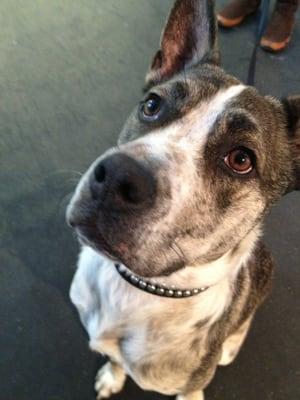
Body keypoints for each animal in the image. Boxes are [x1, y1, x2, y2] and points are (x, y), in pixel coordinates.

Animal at [66, 1, 300, 398]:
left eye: (241, 159)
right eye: (151, 105)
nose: (116, 178)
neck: (138, 288)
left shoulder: (191, 385)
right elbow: (115, 359)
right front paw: (113, 375)